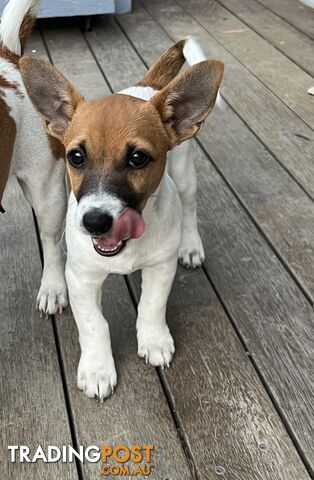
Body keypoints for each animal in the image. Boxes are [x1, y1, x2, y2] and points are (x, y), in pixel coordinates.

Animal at [19, 26, 223, 400]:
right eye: (76, 157)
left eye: (138, 158)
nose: (95, 222)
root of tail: (147, 87)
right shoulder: (81, 279)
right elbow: (94, 325)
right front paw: (98, 370)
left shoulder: (161, 267)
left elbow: (151, 306)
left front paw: (154, 340)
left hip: (185, 174)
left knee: (190, 206)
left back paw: (191, 245)